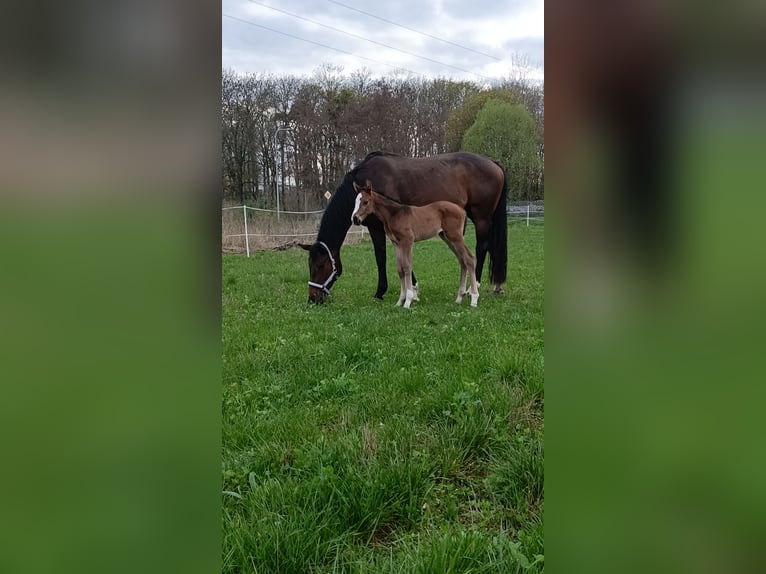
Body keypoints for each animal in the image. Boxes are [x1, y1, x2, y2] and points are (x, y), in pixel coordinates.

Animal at [354, 182, 480, 310]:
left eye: (365, 202)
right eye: (355, 201)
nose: (355, 219)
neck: (394, 214)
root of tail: (462, 210)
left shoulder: (407, 241)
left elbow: (407, 267)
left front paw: (408, 301)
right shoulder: (396, 243)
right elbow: (400, 269)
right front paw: (400, 301)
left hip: (455, 236)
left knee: (469, 258)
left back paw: (474, 299)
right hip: (447, 238)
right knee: (462, 260)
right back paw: (459, 298)